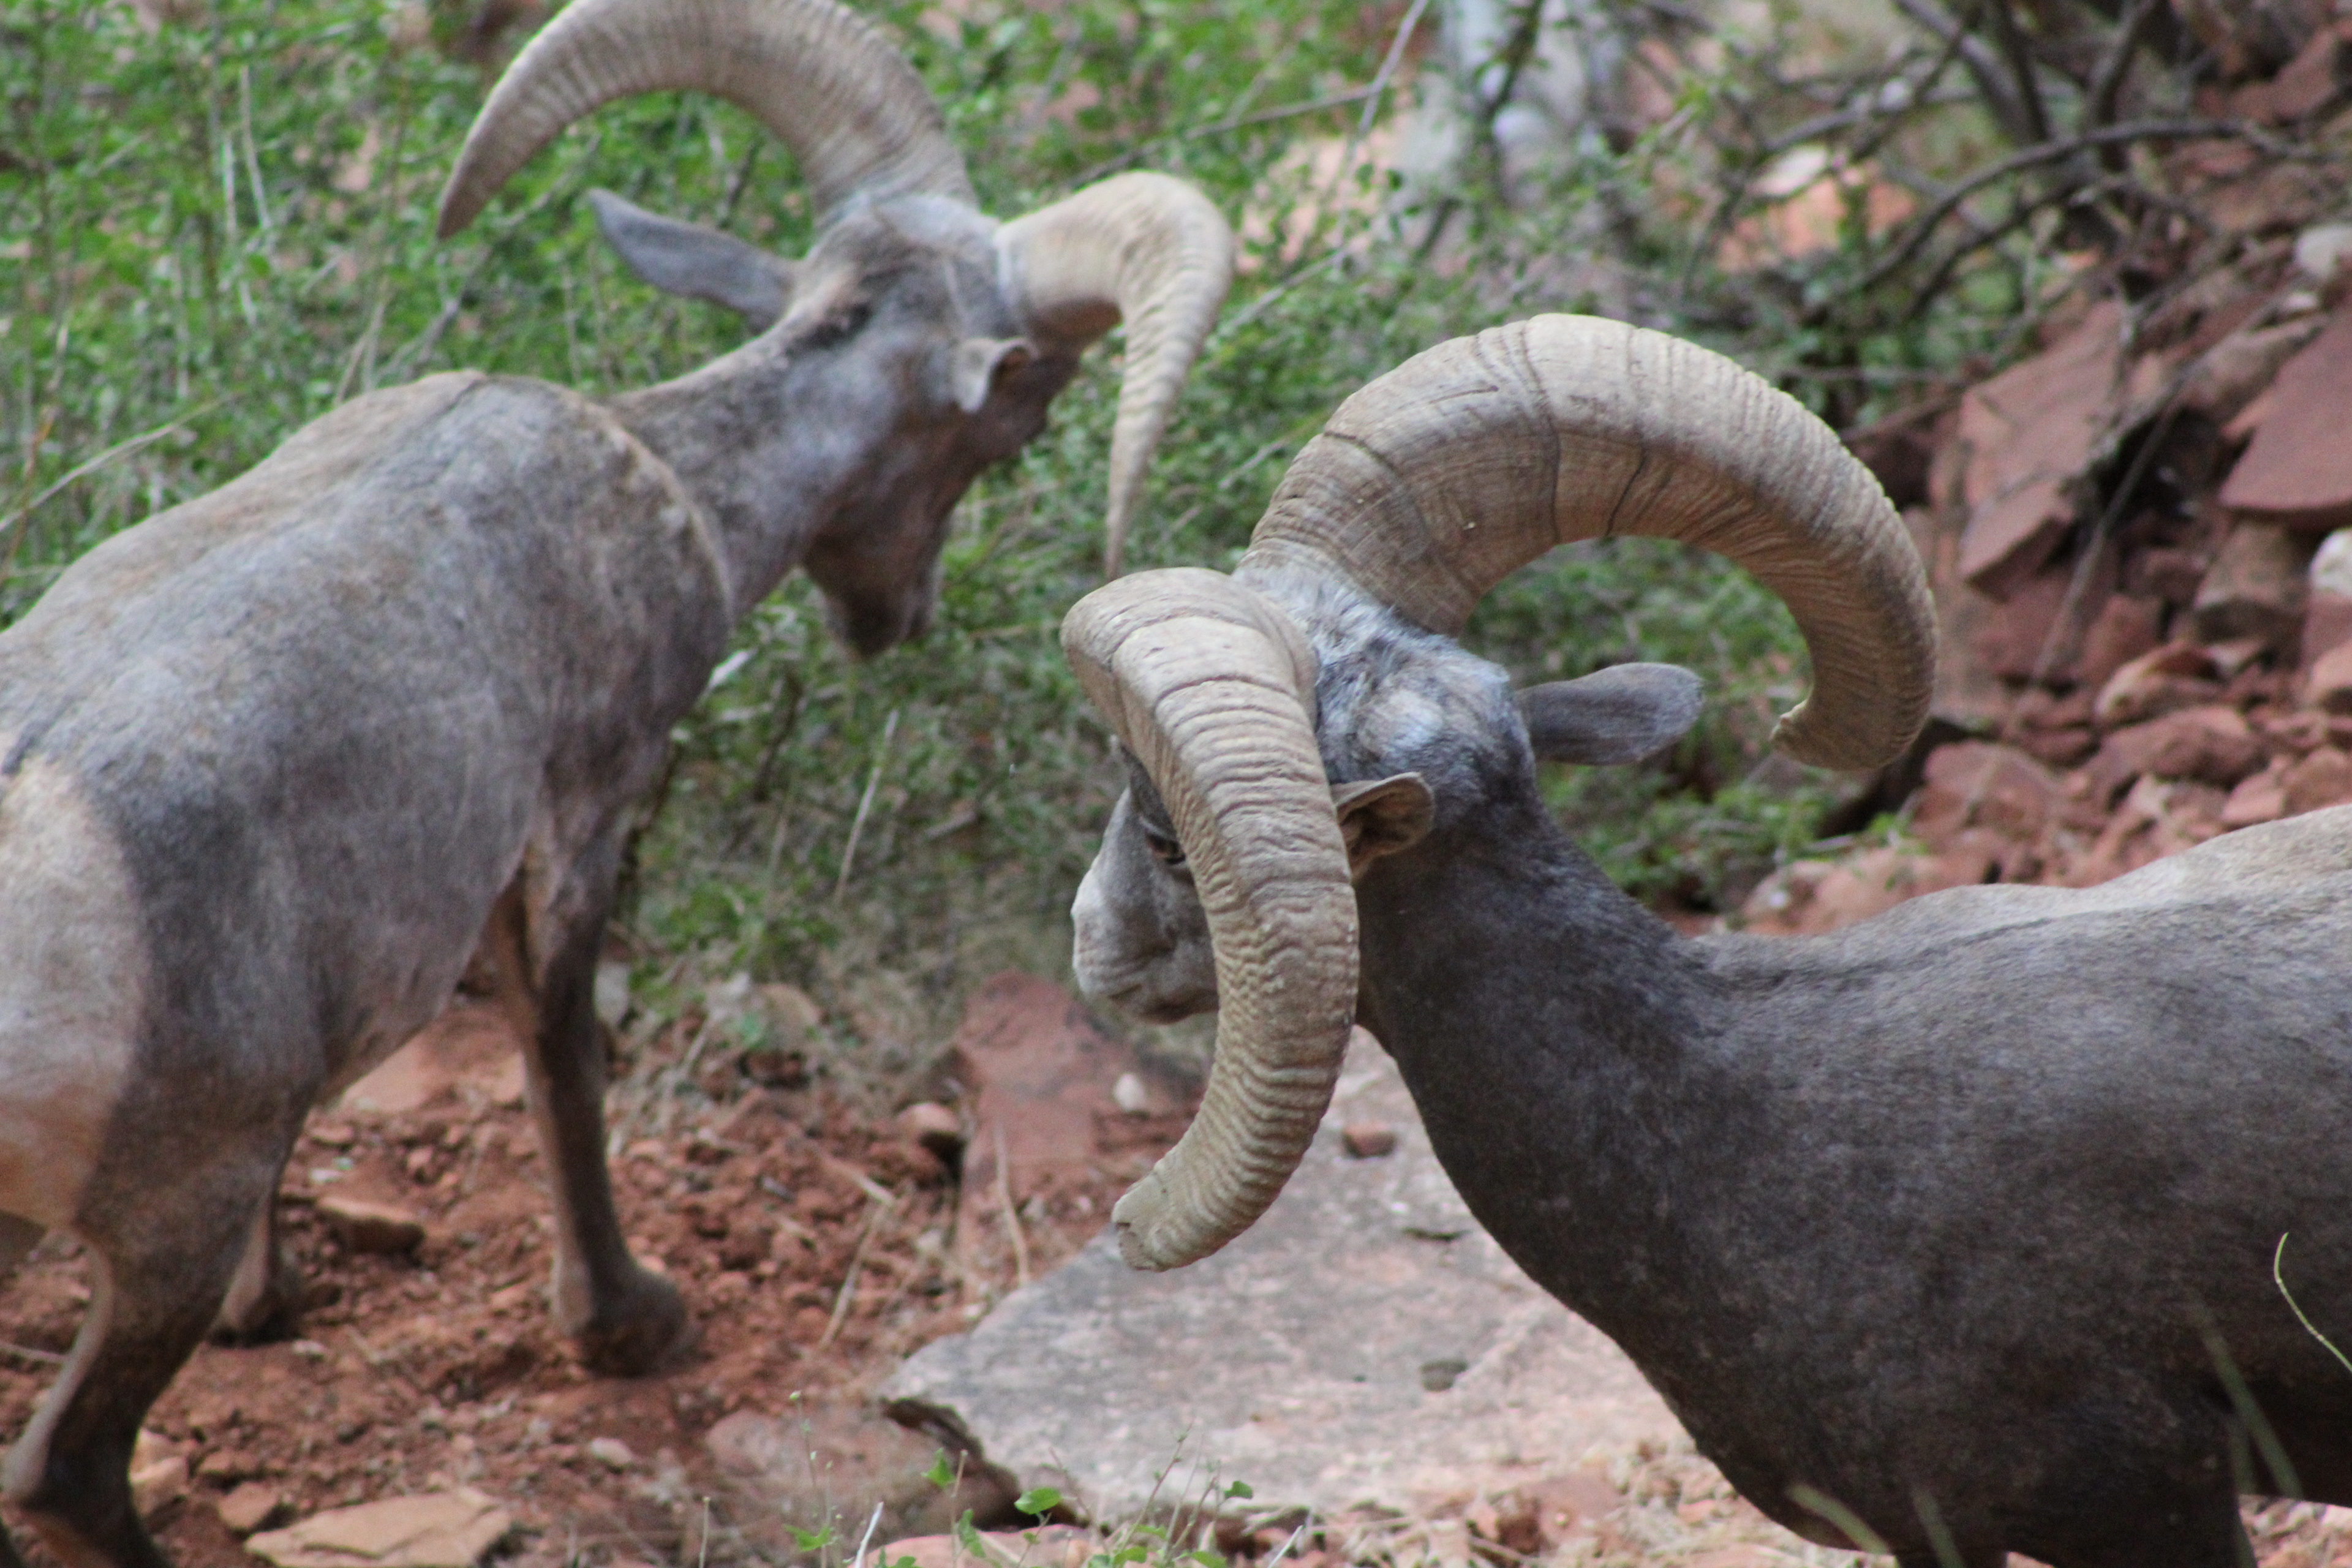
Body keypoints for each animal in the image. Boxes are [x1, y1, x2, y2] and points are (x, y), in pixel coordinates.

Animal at [0, 0, 1229, 1559]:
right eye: (1017, 415)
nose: (896, 618)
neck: (674, 476)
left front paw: (267, 1308)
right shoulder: (580, 830)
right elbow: (565, 1061)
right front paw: (632, 1322)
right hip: (170, 1217)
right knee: (67, 1469)